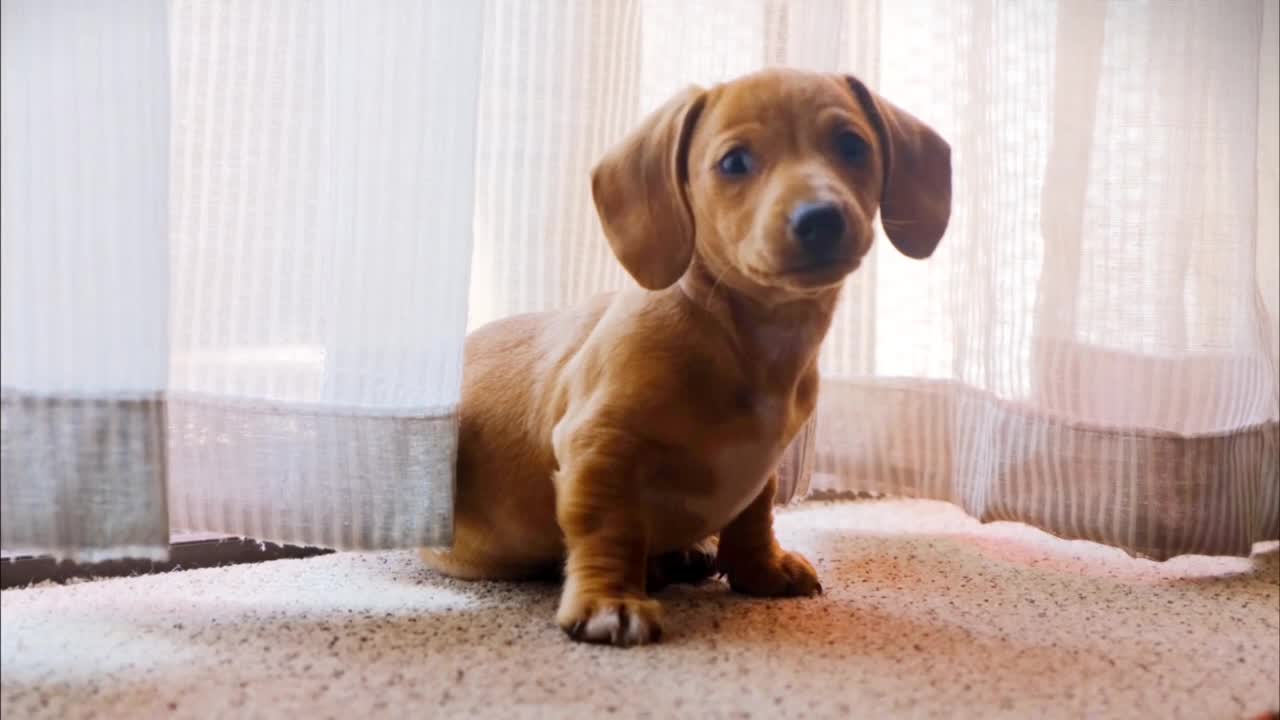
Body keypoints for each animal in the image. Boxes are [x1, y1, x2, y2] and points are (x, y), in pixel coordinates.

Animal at [422, 68, 952, 645]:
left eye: (853, 145)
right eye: (734, 162)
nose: (821, 219)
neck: (745, 338)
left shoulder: (761, 466)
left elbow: (754, 515)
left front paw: (761, 569)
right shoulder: (598, 444)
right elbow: (608, 527)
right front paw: (610, 601)